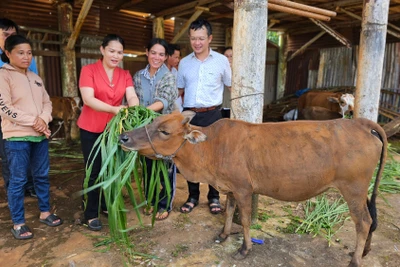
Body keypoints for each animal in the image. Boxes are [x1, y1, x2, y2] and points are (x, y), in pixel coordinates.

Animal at [119, 111, 388, 267]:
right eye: (152, 122)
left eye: (164, 131)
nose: (123, 138)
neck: (210, 147)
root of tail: (361, 123)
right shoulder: (229, 189)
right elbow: (228, 212)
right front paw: (223, 235)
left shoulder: (243, 189)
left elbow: (246, 220)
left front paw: (244, 249)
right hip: (361, 191)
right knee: (372, 219)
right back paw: (364, 251)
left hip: (353, 189)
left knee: (364, 221)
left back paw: (355, 260)